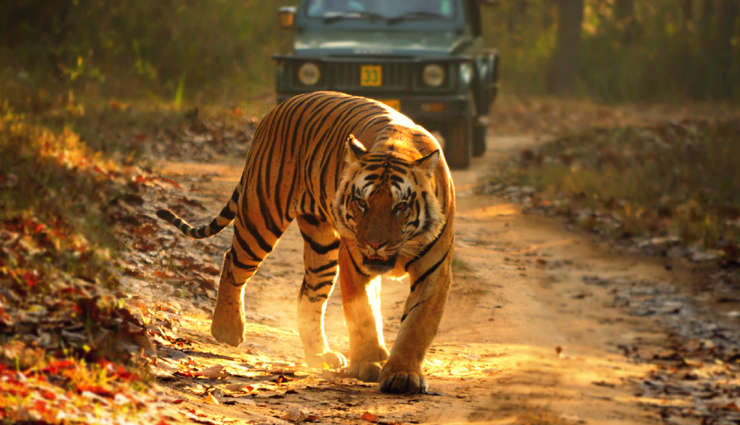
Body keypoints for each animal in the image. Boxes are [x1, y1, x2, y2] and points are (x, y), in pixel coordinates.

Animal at [155, 91, 455, 394]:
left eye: (401, 206)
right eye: (362, 202)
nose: (375, 244)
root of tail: (280, 107)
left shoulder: (434, 271)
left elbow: (417, 324)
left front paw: (402, 374)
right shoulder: (355, 262)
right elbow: (363, 315)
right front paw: (368, 364)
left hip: (321, 246)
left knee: (308, 296)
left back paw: (320, 355)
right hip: (261, 215)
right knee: (232, 262)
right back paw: (227, 329)